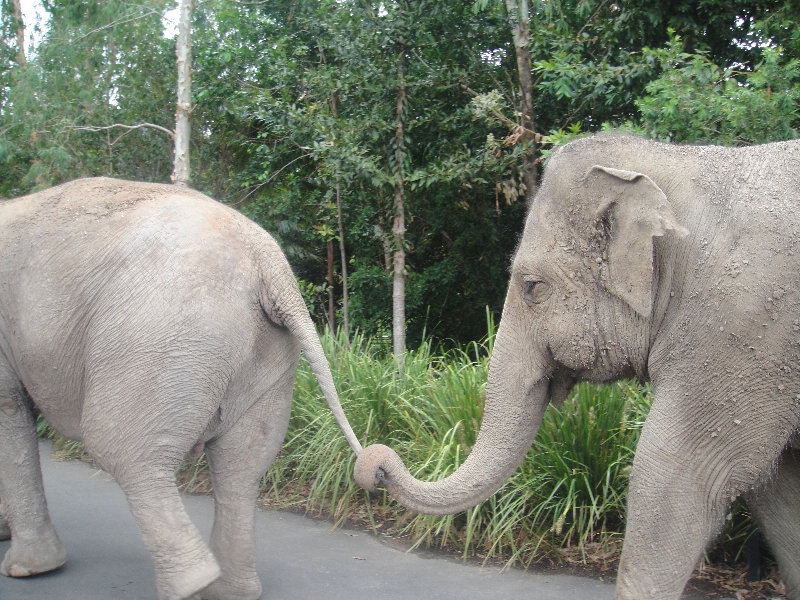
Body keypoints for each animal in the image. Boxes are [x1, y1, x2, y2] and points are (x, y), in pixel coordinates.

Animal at [0, 178, 362, 600]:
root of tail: (269, 264)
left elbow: (7, 411)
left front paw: (26, 568)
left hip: (159, 334)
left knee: (120, 448)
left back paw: (191, 585)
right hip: (260, 355)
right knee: (241, 466)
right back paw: (230, 590)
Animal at [356, 135, 800, 600]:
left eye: (533, 287)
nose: (377, 464)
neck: (683, 161)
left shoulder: (744, 329)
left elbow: (673, 477)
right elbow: (779, 492)